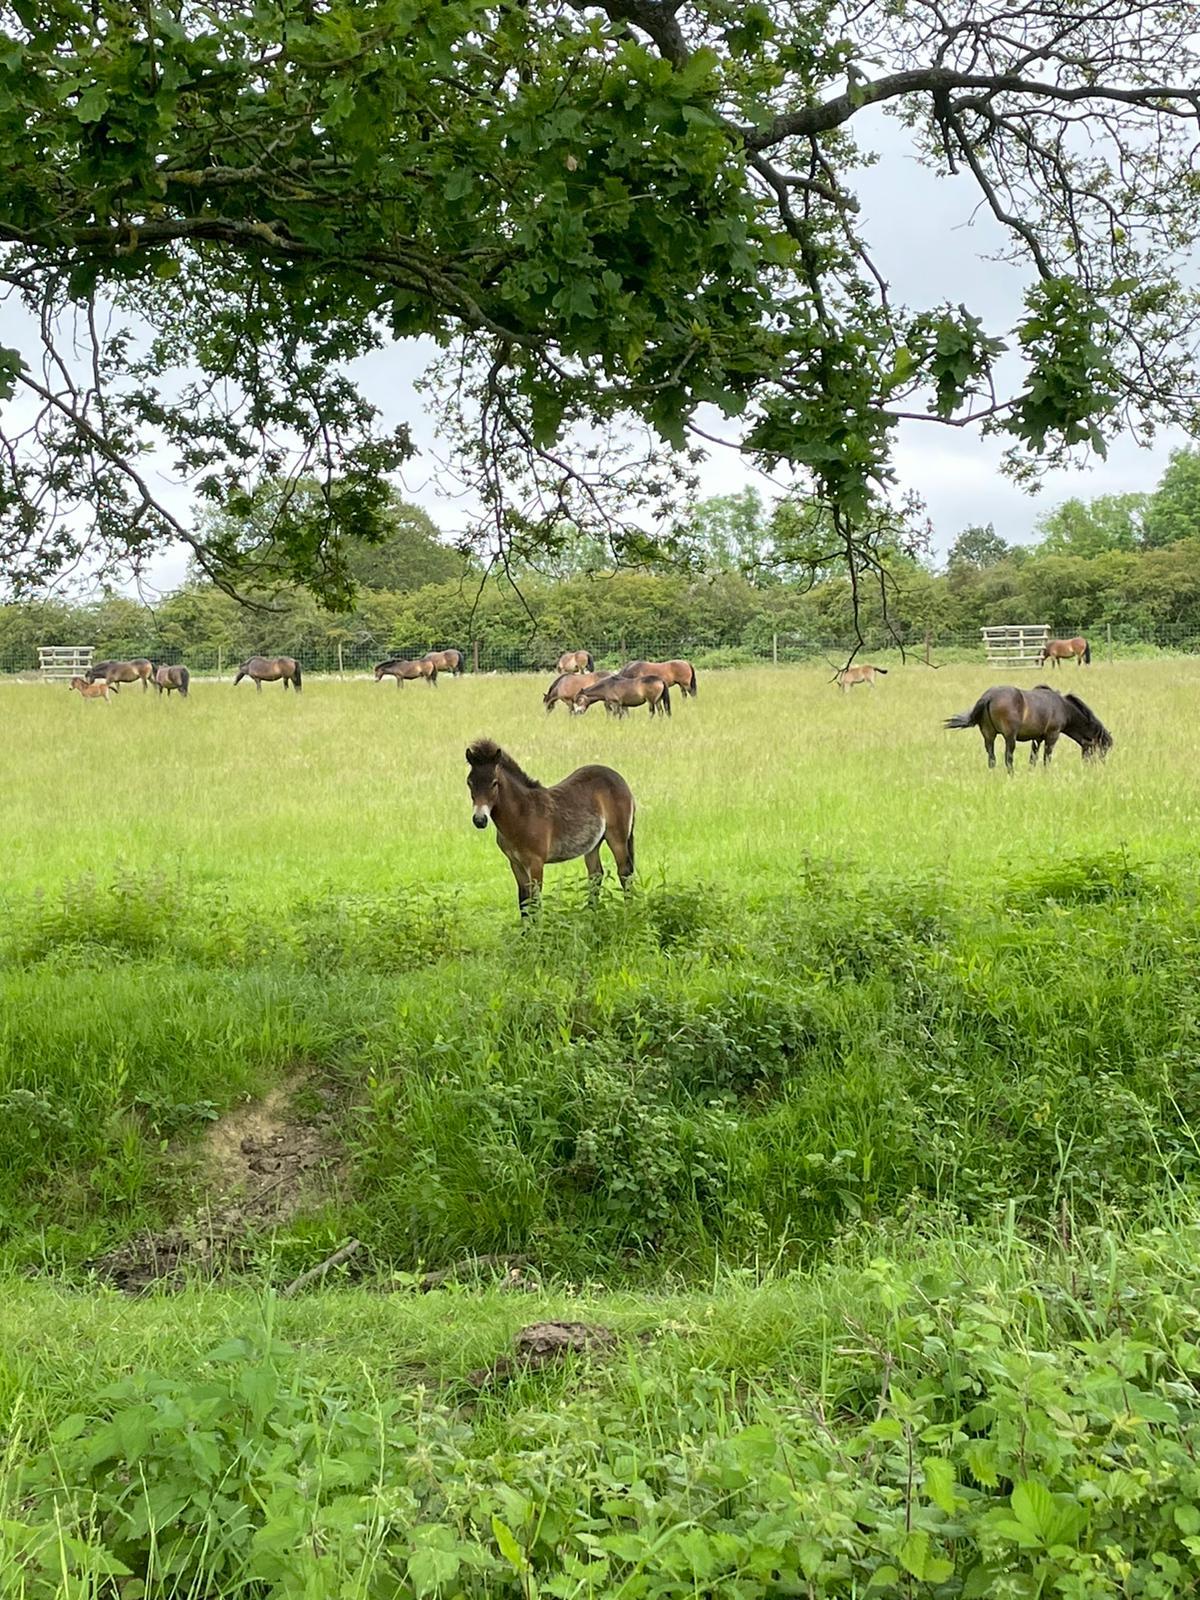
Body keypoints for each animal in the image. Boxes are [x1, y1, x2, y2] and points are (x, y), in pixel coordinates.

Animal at [467, 736, 640, 915]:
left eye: (494, 783)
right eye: (469, 782)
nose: (479, 820)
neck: (522, 814)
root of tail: (620, 780)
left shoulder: (535, 863)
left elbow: (535, 903)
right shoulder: (515, 863)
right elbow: (524, 903)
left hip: (617, 839)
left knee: (625, 873)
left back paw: (628, 913)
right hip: (593, 844)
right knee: (596, 875)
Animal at [947, 678, 1113, 771]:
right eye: (1102, 749)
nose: (1100, 766)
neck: (1064, 708)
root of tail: (989, 696)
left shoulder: (1037, 738)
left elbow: (1033, 758)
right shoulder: (1052, 736)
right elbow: (1046, 758)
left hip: (989, 735)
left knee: (992, 758)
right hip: (1010, 737)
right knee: (1008, 758)